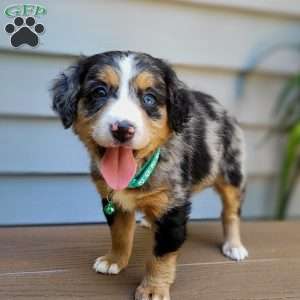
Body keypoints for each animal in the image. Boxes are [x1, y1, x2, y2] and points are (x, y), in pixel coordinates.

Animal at [51, 50, 248, 298]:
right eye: (99, 92)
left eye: (149, 99)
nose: (122, 129)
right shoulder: (113, 200)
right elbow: (120, 233)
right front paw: (114, 260)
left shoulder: (172, 207)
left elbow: (161, 256)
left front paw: (153, 288)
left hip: (232, 171)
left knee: (231, 212)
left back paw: (234, 245)